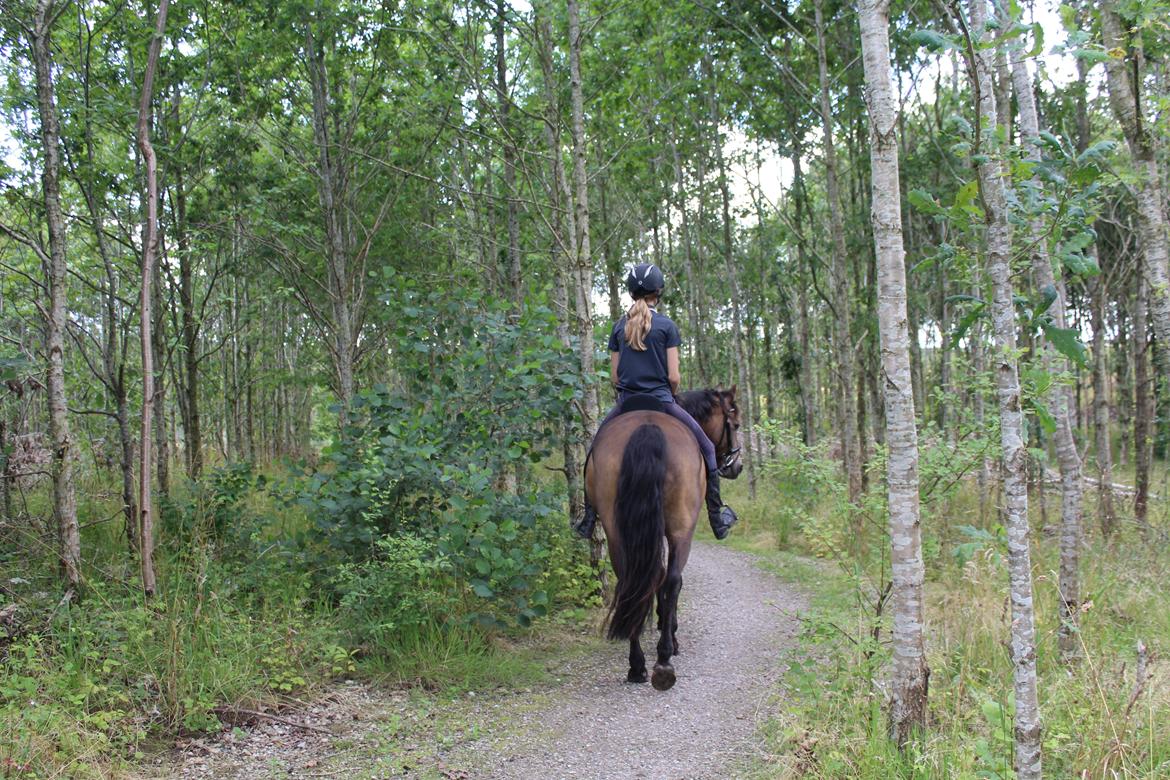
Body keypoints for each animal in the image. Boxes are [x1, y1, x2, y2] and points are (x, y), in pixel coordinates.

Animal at [582, 388, 739, 692]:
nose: (736, 466)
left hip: (616, 529)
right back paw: (664, 659)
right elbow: (671, 579)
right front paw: (670, 632)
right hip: (681, 527)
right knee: (672, 580)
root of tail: (647, 428)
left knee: (633, 578)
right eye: (736, 424)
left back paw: (637, 665)